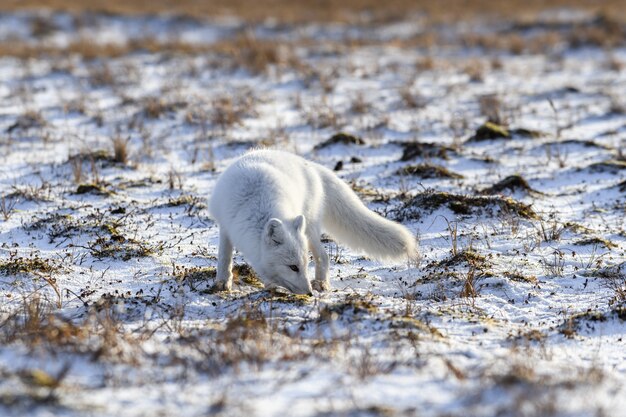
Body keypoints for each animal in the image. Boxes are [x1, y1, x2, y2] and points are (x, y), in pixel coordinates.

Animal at [207, 149, 416, 292]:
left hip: (310, 229)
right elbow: (224, 256)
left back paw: (321, 284)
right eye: (293, 267)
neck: (256, 203)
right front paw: (222, 282)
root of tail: (309, 164)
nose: (308, 293)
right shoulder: (226, 225)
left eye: (305, 265)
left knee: (323, 256)